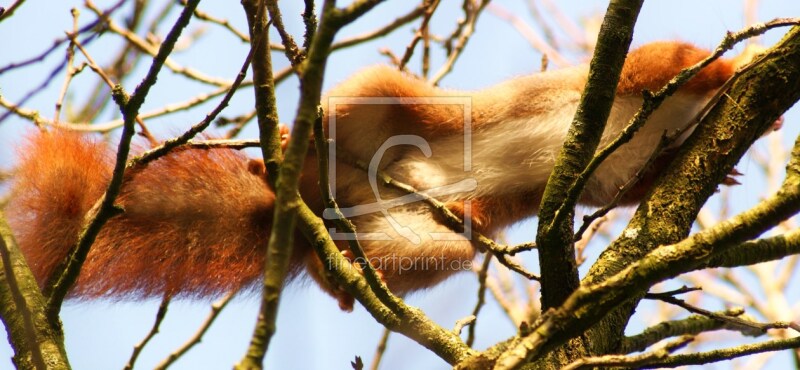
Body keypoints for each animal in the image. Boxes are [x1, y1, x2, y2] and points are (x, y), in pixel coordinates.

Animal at [7, 42, 756, 310]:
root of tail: (320, 198)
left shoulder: (615, 171)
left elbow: (628, 187)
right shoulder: (634, 73)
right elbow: (673, 57)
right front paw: (739, 66)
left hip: (421, 243)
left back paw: (338, 271)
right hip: (382, 98)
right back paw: (284, 149)